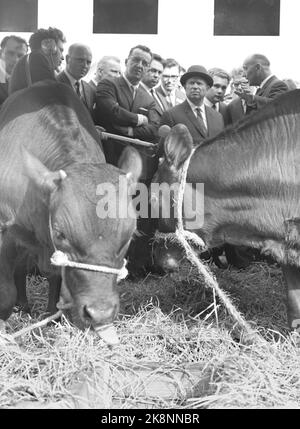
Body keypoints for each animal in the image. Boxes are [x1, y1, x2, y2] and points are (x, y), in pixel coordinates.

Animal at [0, 80, 142, 334]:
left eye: (129, 237)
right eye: (61, 234)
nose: (99, 313)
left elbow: (56, 276)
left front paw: (51, 316)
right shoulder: (7, 229)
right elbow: (5, 293)